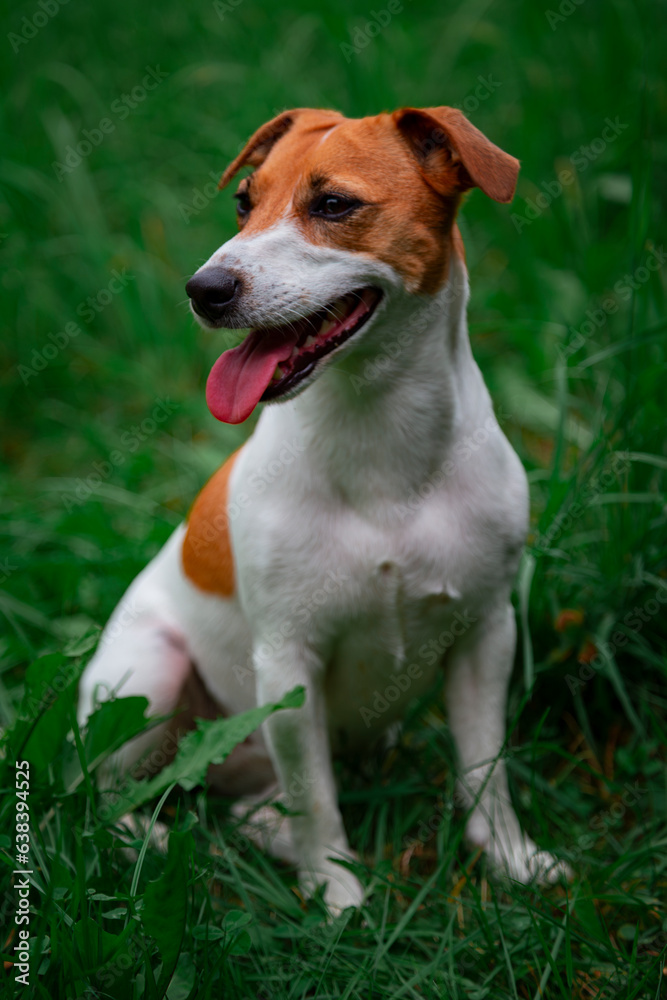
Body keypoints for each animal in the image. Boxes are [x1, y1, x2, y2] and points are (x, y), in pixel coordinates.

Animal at [77, 105, 568, 912]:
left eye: (334, 204)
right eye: (243, 203)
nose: (204, 288)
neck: (379, 443)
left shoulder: (485, 633)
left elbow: (484, 763)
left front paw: (509, 857)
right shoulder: (287, 665)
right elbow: (315, 798)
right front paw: (336, 892)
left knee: (253, 806)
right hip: (145, 678)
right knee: (100, 793)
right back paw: (153, 845)